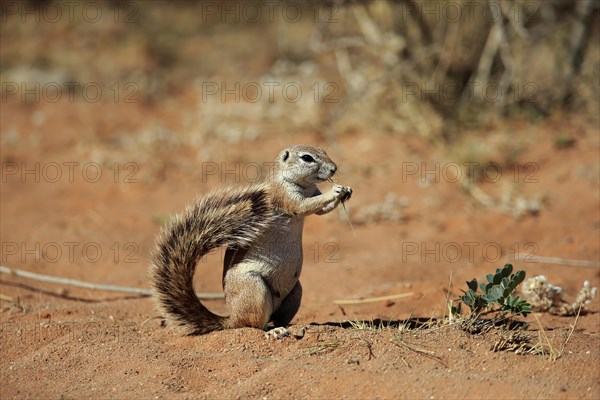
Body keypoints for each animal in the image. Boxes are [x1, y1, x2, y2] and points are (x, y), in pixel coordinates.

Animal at [149, 145, 352, 336]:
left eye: (323, 151)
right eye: (307, 158)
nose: (334, 168)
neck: (303, 184)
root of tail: (231, 319)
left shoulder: (312, 192)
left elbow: (321, 210)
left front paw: (346, 191)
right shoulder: (284, 196)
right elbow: (304, 206)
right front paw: (335, 190)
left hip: (296, 292)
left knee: (276, 319)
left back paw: (293, 327)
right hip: (255, 288)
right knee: (255, 325)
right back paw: (274, 332)